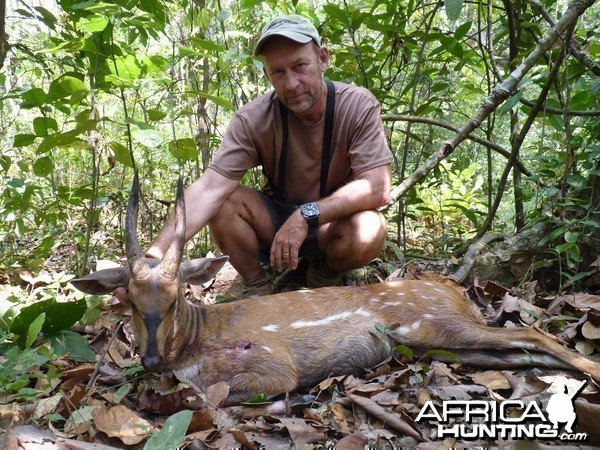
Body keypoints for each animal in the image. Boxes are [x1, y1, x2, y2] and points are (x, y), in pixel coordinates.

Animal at [72, 175, 600, 404]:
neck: (198, 341)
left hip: (437, 324)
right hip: (438, 343)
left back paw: (589, 371)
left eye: (177, 296)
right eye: (128, 301)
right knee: (519, 352)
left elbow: (210, 394)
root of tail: (454, 288)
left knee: (533, 335)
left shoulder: (273, 362)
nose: (150, 359)